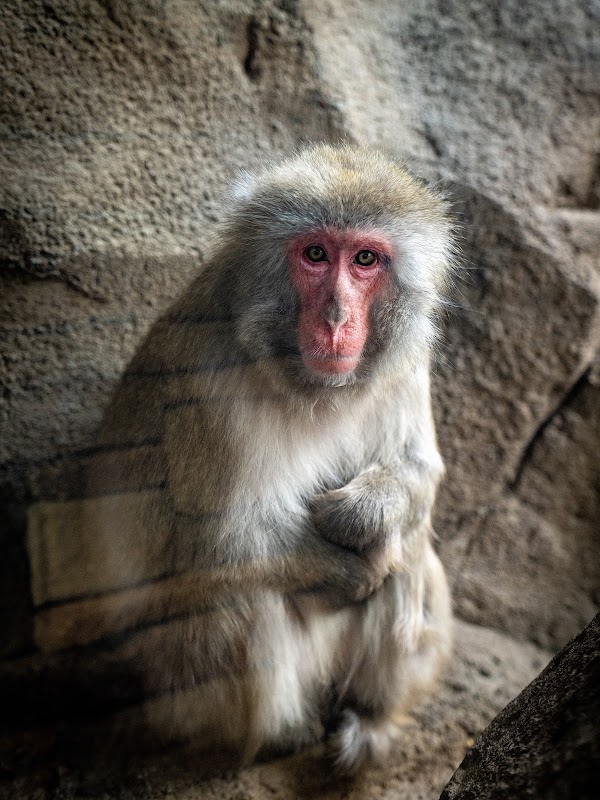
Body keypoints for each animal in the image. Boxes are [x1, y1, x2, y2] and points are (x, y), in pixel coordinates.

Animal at [85, 143, 454, 775]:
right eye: (315, 254)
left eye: (365, 259)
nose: (336, 317)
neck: (309, 383)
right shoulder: (206, 379)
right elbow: (218, 541)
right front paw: (353, 567)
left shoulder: (405, 357)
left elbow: (418, 472)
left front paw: (361, 516)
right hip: (178, 691)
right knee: (238, 594)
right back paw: (272, 737)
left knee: (410, 547)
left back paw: (369, 720)